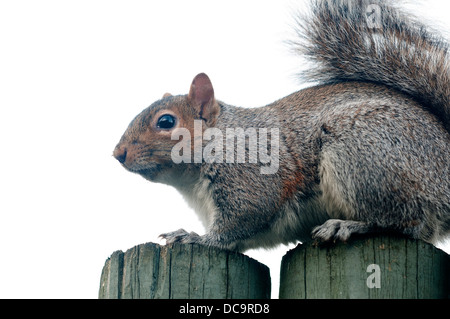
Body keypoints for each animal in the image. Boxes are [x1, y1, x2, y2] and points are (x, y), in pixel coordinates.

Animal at [113, 1, 450, 254]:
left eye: (166, 122)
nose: (118, 154)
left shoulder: (252, 179)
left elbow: (240, 222)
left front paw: (194, 237)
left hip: (363, 153)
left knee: (410, 221)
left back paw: (347, 224)